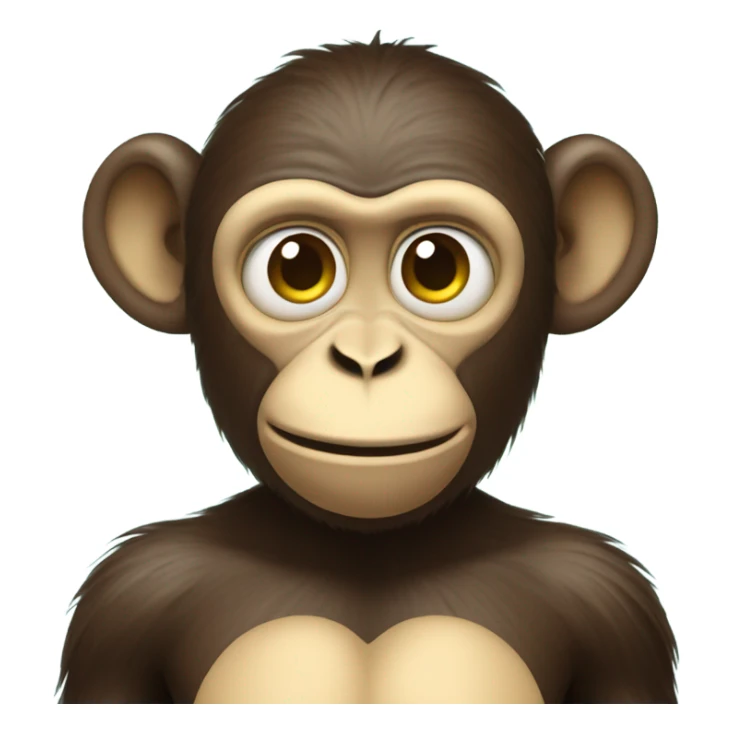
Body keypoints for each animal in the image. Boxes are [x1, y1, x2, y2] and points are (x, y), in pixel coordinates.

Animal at [58, 35, 677, 703]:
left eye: (436, 267)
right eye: (297, 267)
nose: (367, 358)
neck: (368, 555)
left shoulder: (606, 599)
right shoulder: (131, 597)